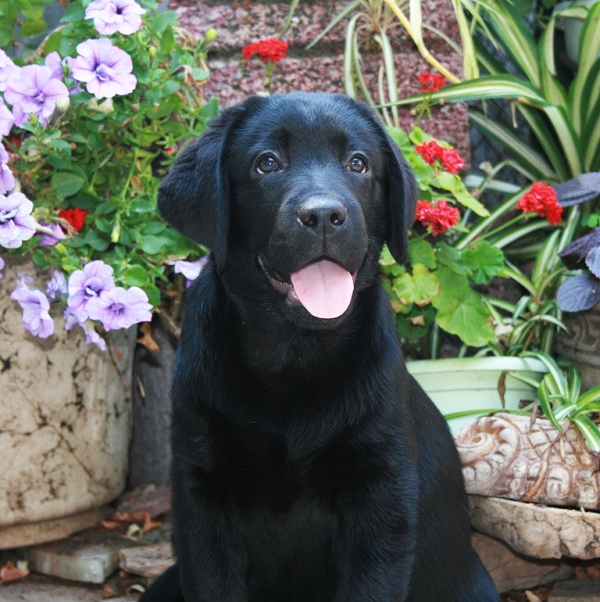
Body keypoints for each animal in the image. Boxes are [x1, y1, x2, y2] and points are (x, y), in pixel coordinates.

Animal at [140, 92, 499, 601]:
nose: (325, 216)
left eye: (358, 163)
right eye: (267, 163)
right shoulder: (201, 492)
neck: (294, 354)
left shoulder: (381, 494)